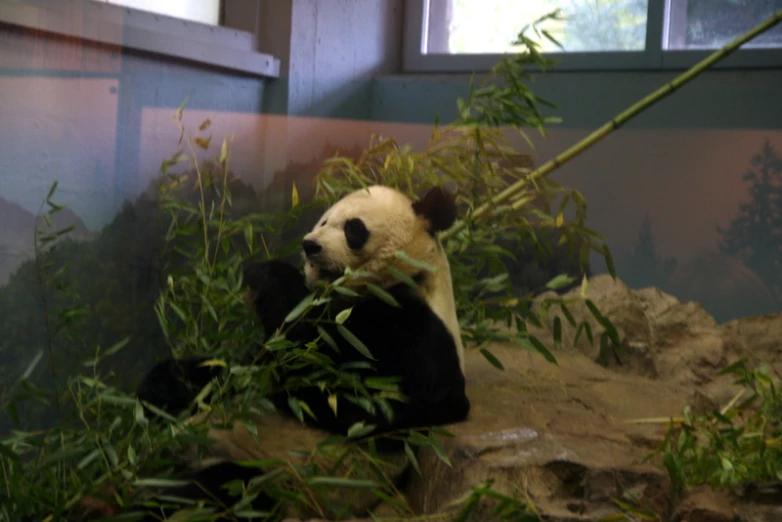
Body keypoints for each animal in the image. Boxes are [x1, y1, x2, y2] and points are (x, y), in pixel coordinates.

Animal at [117, 185, 472, 520]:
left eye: (354, 228)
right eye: (324, 220)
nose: (309, 245)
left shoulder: (416, 331)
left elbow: (359, 401)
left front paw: (269, 276)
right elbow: (241, 368)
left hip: (280, 480)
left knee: (220, 491)